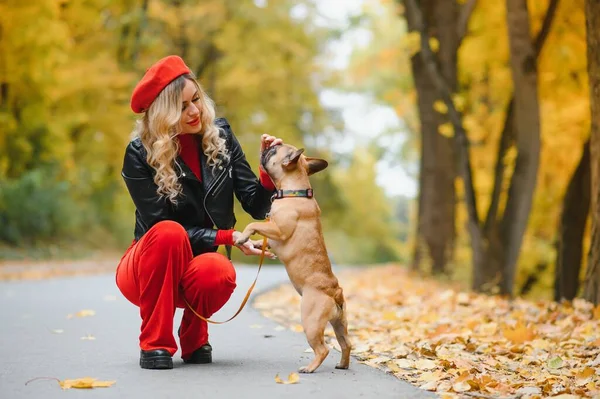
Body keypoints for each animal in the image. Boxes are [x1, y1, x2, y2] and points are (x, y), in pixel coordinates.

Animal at [236, 145, 352, 376]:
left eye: (273, 151)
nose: (267, 146)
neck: (293, 191)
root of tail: (334, 291)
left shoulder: (277, 229)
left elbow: (254, 224)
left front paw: (243, 237)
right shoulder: (272, 233)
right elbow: (261, 236)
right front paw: (255, 245)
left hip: (310, 321)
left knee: (323, 349)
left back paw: (309, 368)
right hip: (339, 323)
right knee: (346, 344)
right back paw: (342, 364)